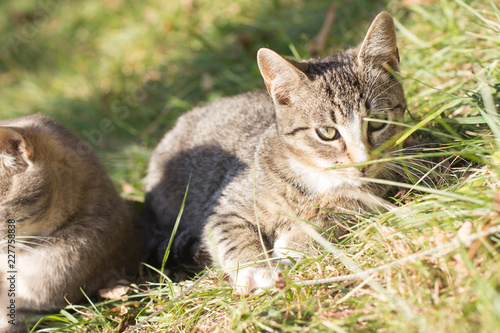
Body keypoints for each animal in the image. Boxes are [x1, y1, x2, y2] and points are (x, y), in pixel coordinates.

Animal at [145, 11, 406, 290]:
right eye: (327, 132)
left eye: (378, 121)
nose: (363, 163)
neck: (312, 177)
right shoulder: (225, 207)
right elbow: (232, 235)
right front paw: (256, 268)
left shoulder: (368, 199)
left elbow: (334, 218)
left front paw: (295, 244)